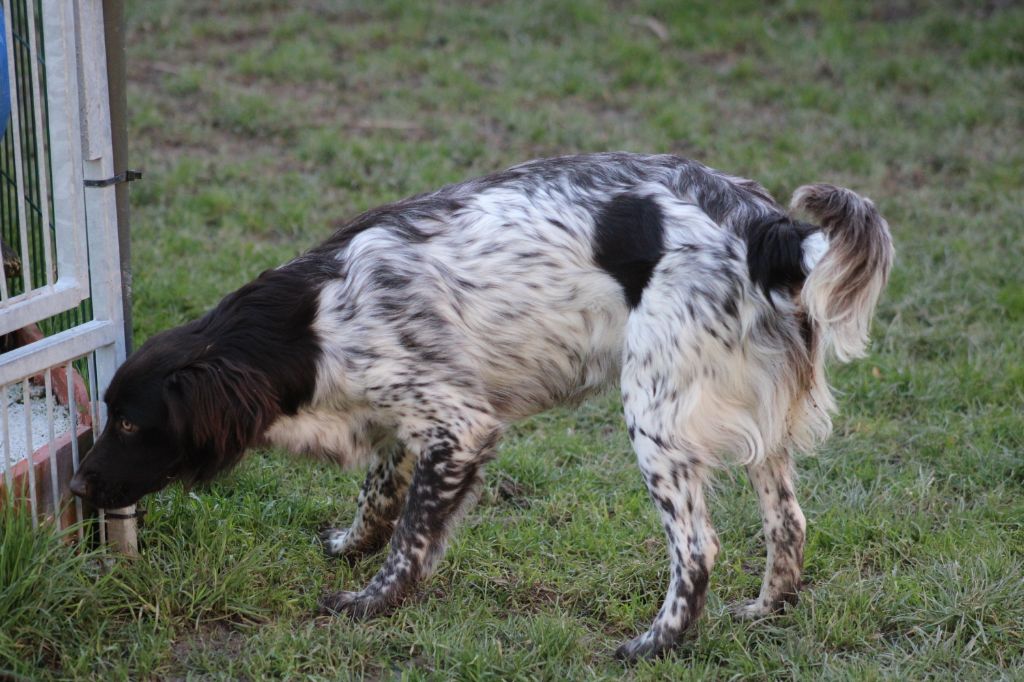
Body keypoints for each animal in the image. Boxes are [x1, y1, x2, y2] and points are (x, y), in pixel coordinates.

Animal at [70, 153, 888, 659]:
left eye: (132, 422)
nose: (77, 486)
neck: (309, 326)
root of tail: (767, 228)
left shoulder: (461, 427)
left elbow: (409, 538)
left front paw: (371, 602)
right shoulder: (407, 416)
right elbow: (380, 497)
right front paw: (350, 546)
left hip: (655, 417)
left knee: (697, 550)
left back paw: (656, 643)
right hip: (756, 428)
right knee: (789, 523)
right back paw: (765, 611)